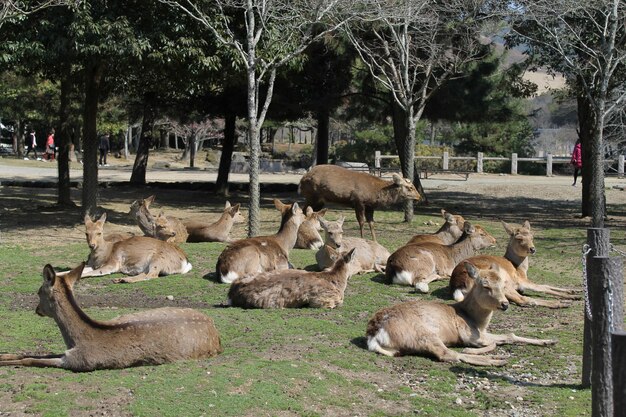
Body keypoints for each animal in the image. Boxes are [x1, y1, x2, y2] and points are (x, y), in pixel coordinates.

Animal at [0, 264, 222, 370]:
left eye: (38, 291)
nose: (37, 309)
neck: (75, 340)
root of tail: (215, 331)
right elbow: (33, 354)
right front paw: (4, 355)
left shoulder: (78, 362)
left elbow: (31, 360)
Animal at [61, 213, 193, 284]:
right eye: (86, 233)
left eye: (99, 232)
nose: (92, 245)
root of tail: (186, 262)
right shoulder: (92, 265)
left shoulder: (112, 264)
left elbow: (90, 273)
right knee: (146, 274)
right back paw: (121, 279)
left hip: (158, 259)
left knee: (152, 275)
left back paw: (123, 280)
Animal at [366, 262, 556, 366]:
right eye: (485, 285)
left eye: (503, 284)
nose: (505, 304)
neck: (477, 322)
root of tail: (373, 334)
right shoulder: (468, 334)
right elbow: (493, 342)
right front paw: (474, 349)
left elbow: (510, 335)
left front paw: (549, 341)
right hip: (424, 335)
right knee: (449, 355)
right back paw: (497, 360)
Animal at [446, 219, 576, 308]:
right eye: (519, 238)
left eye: (532, 237)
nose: (532, 249)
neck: (520, 268)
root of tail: (458, 284)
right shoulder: (521, 280)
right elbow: (542, 287)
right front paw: (572, 296)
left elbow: (546, 285)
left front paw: (574, 291)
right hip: (502, 283)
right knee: (523, 299)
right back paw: (562, 303)